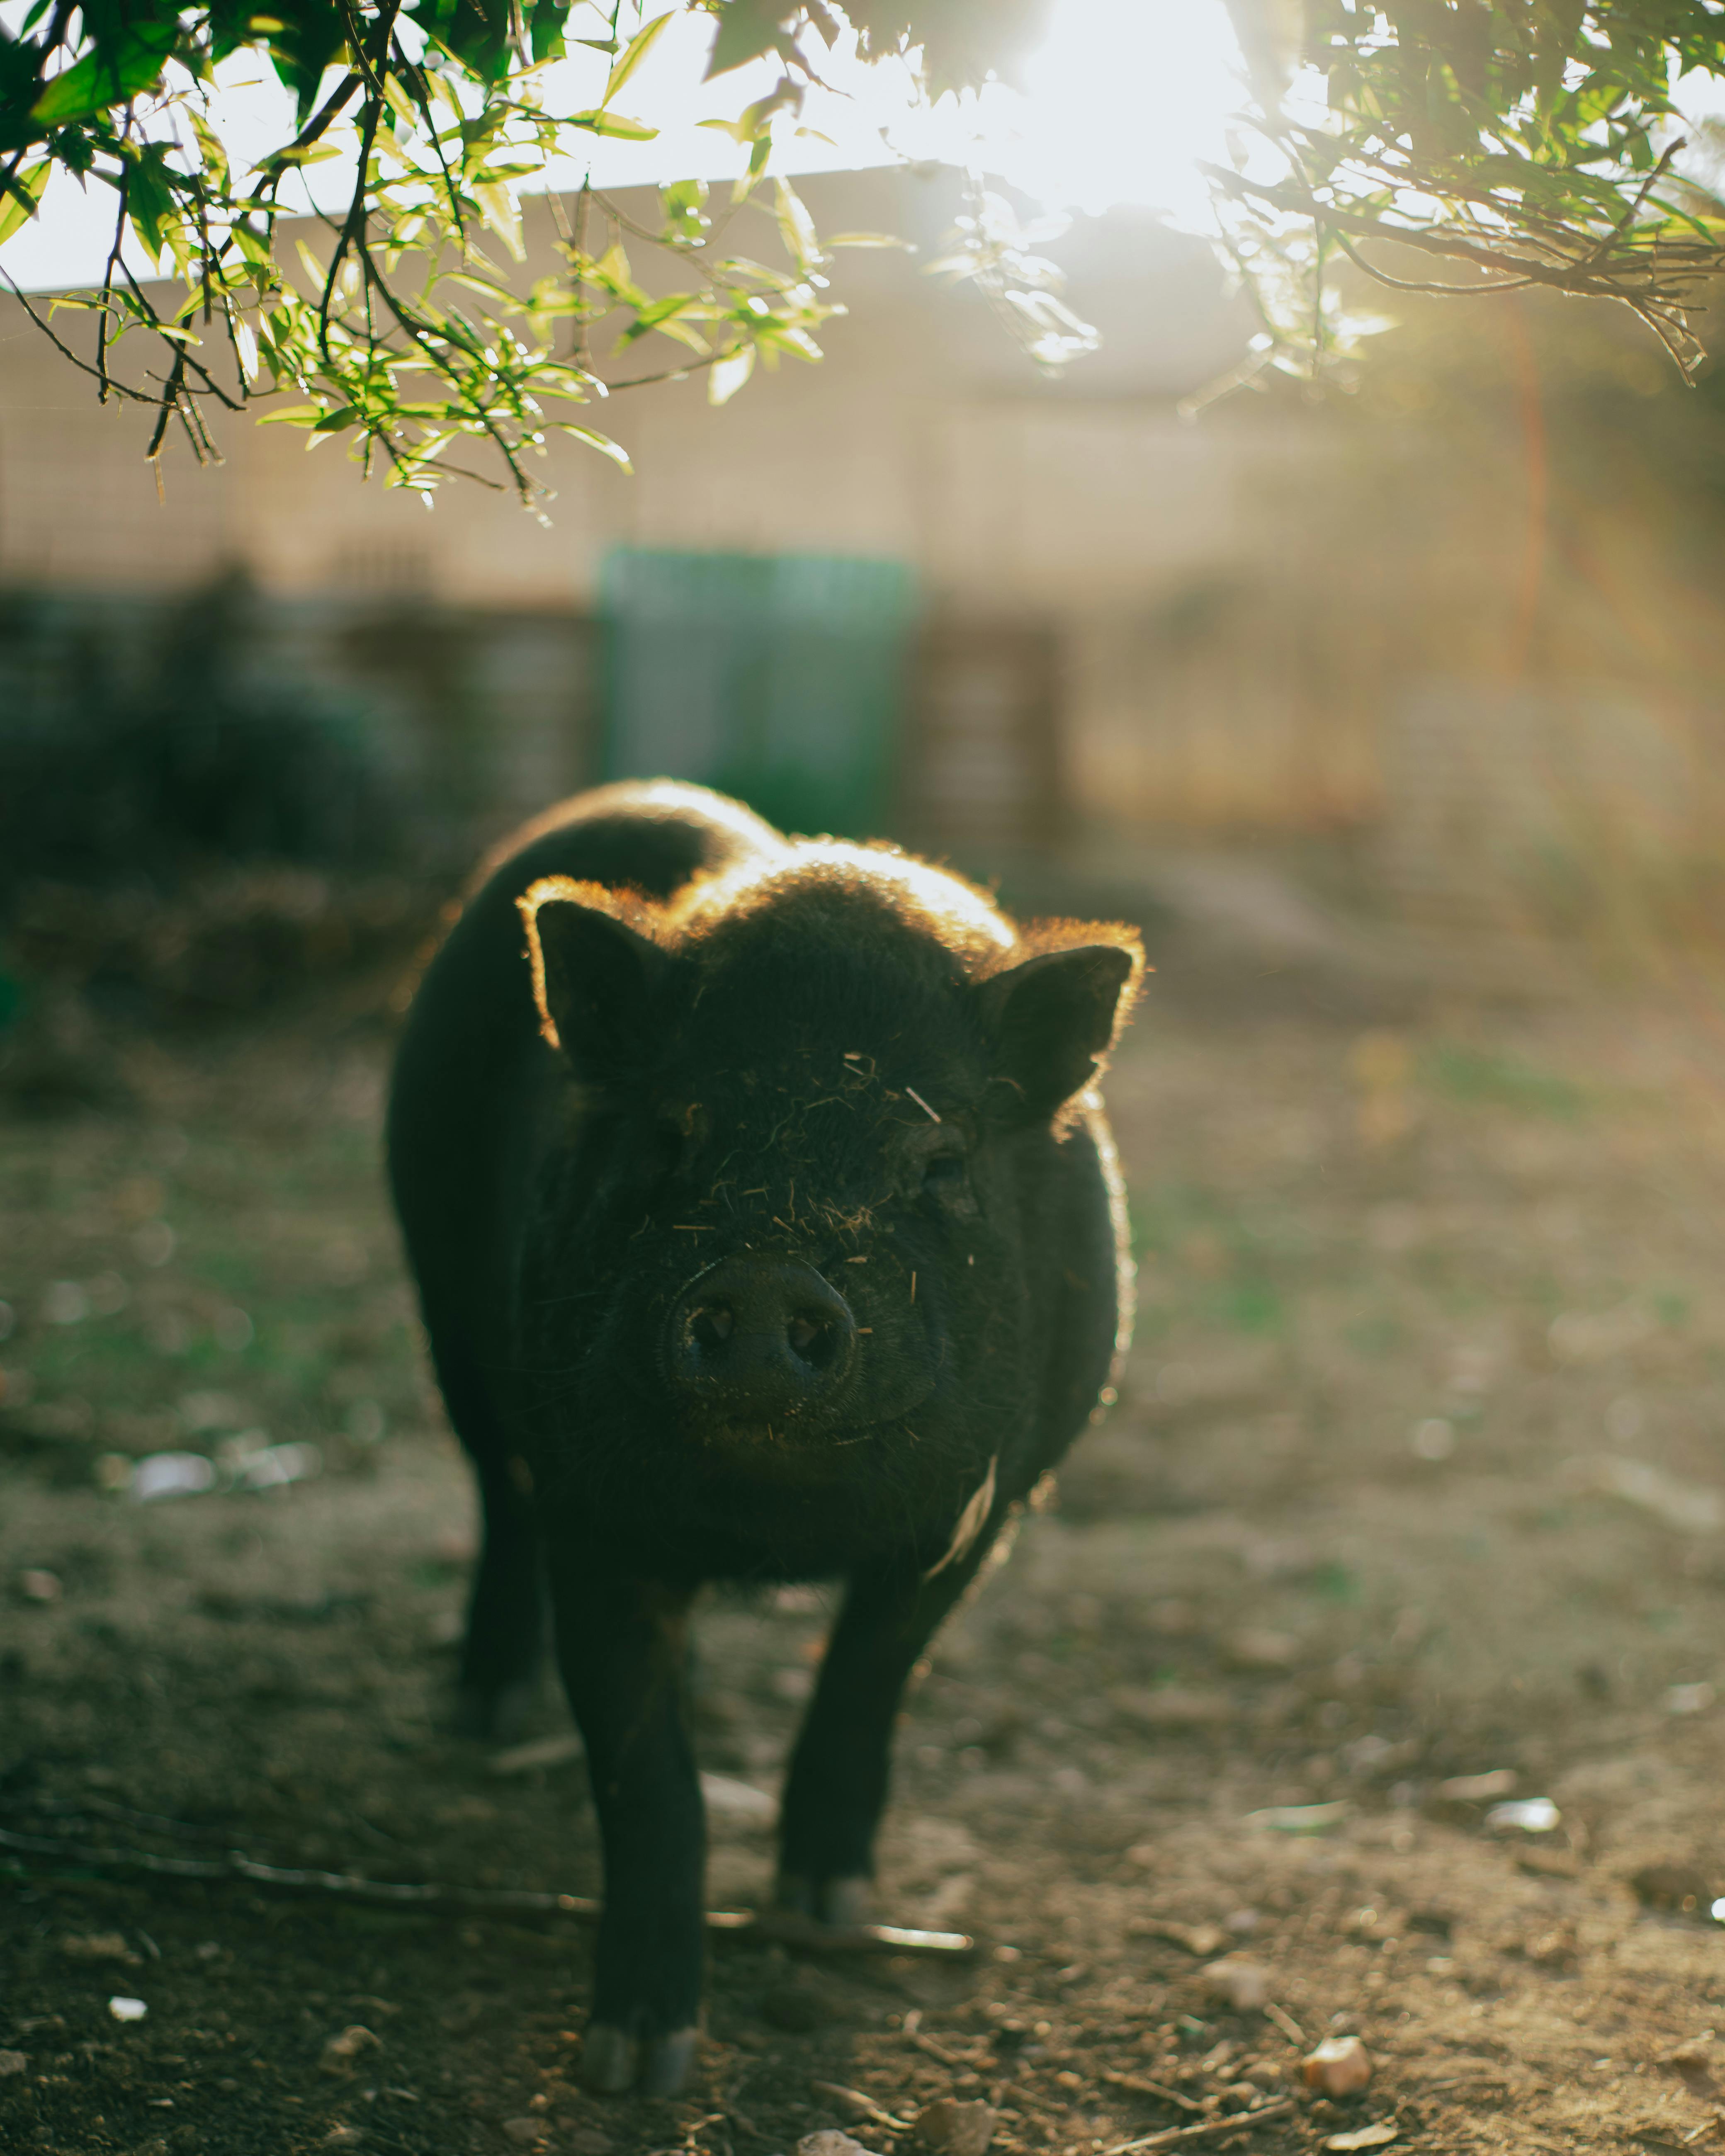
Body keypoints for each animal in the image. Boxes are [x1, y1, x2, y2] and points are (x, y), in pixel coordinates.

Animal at [390, 784, 1147, 2095]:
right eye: (671, 1133)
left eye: (938, 1157)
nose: (761, 1279)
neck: (777, 1531)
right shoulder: (594, 1516)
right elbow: (646, 1772)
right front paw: (635, 2067)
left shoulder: (979, 1513)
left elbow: (866, 1680)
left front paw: (828, 1909)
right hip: (440, 1295)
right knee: (494, 1491)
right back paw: (488, 1712)